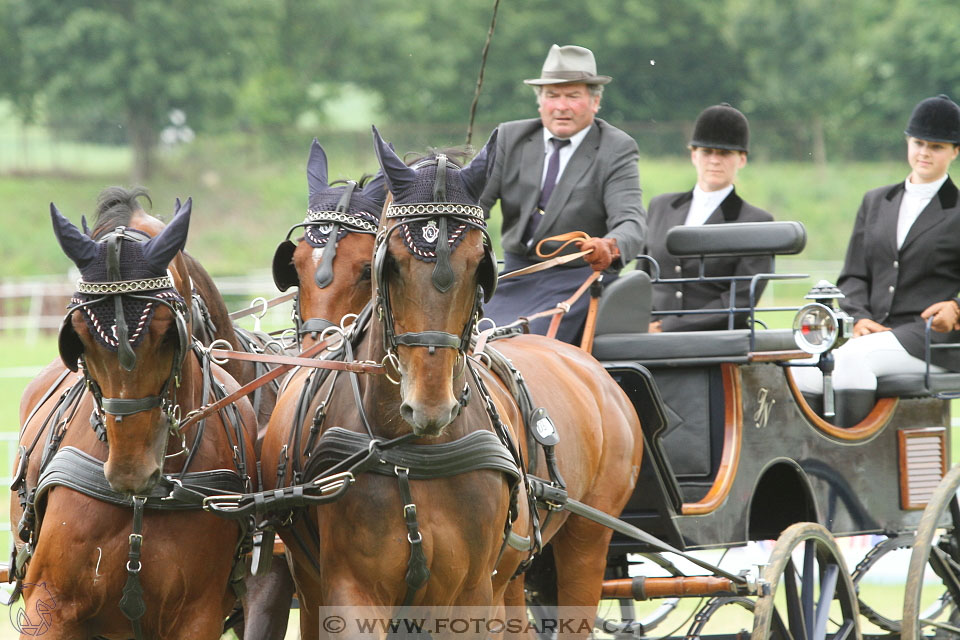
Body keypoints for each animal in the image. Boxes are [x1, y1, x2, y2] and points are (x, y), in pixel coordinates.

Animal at [258, 127, 640, 636]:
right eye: (390, 263)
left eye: (481, 263)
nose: (430, 405)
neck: (413, 451)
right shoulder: (351, 590)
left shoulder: (469, 593)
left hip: (586, 540)